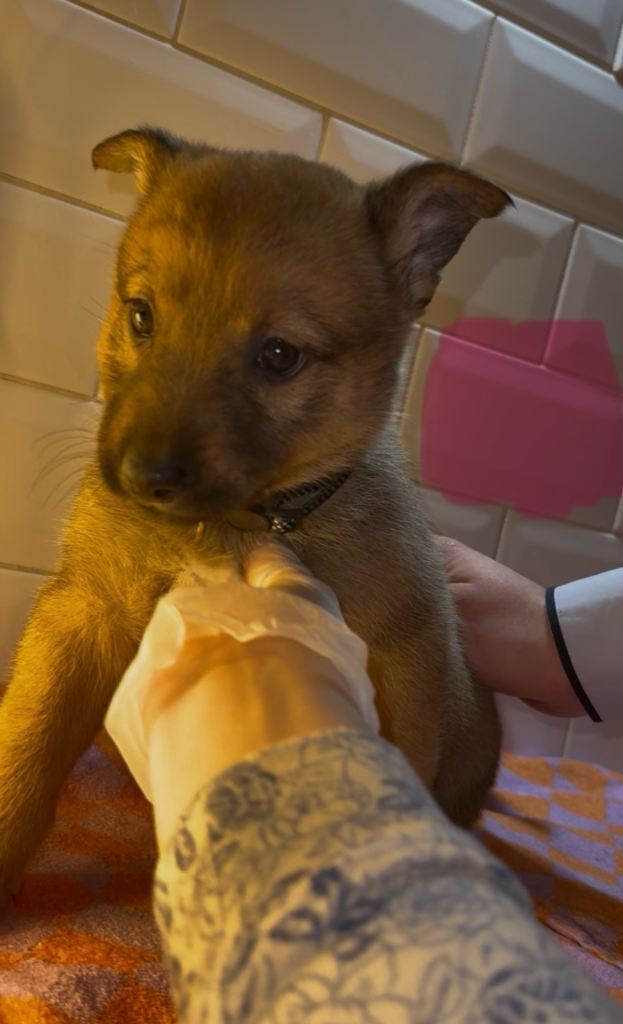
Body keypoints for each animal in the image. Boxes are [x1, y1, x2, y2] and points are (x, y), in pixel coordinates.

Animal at [0, 128, 509, 905]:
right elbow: (28, 741)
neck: (232, 525)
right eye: (141, 315)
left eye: (279, 355)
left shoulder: (408, 652)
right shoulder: (81, 609)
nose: (143, 477)